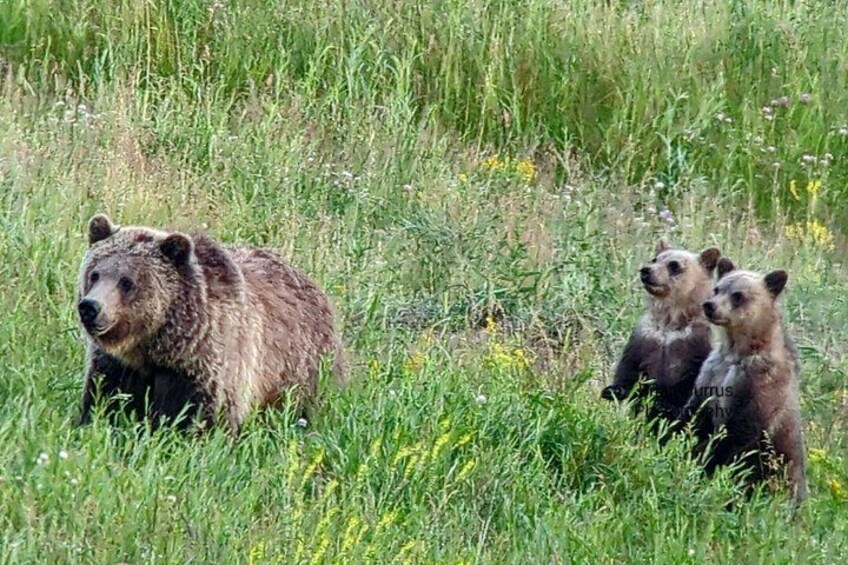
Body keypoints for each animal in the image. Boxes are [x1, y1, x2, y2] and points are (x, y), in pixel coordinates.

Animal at [76, 213, 346, 433]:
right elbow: (105, 400)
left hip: (303, 369)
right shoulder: (118, 366)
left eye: (127, 281)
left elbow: (199, 417)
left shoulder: (204, 367)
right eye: (95, 274)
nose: (90, 307)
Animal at [601, 240, 721, 430]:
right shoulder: (645, 337)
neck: (670, 321)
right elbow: (629, 366)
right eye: (655, 259)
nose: (646, 270)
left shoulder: (697, 341)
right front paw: (613, 390)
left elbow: (692, 383)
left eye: (674, 265)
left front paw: (666, 406)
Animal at [676, 258, 807, 504]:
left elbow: (738, 434)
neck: (736, 351)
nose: (709, 305)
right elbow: (693, 413)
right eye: (717, 289)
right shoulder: (712, 372)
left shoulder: (757, 385)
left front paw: (707, 465)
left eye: (738, 295)